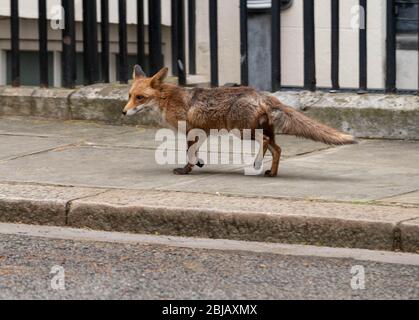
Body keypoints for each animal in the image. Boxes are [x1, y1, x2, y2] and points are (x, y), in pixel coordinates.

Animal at [123, 65, 356, 178]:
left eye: (140, 98)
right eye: (129, 95)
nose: (124, 112)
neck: (167, 100)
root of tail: (260, 93)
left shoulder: (191, 130)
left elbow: (189, 153)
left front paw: (186, 169)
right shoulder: (201, 132)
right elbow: (194, 152)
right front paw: (198, 163)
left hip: (242, 131)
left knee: (265, 143)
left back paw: (257, 164)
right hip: (260, 131)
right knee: (278, 149)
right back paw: (272, 172)